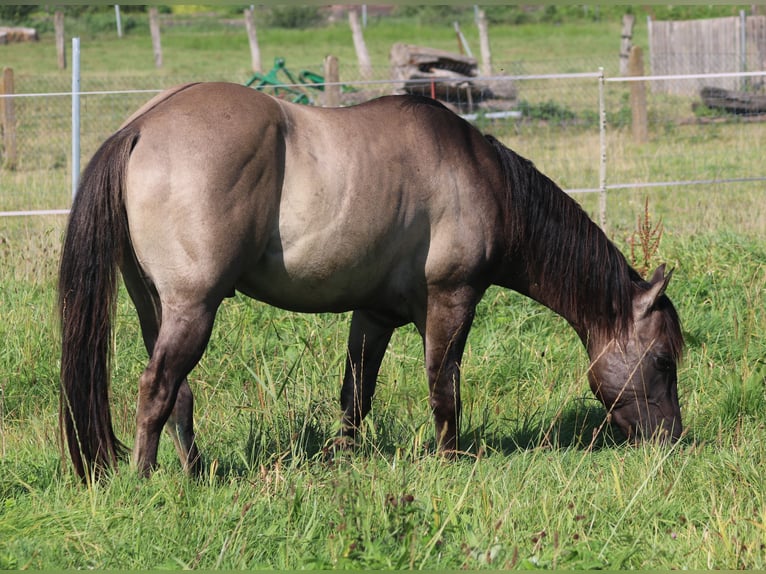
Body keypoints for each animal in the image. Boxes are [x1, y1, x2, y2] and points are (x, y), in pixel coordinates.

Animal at [58, 83, 684, 482]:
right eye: (662, 360)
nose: (672, 441)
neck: (481, 178)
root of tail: (140, 127)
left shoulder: (373, 314)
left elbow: (355, 395)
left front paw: (343, 459)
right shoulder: (453, 300)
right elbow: (444, 386)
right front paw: (450, 461)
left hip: (156, 307)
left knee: (177, 393)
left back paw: (192, 471)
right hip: (194, 308)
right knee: (156, 387)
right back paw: (145, 481)